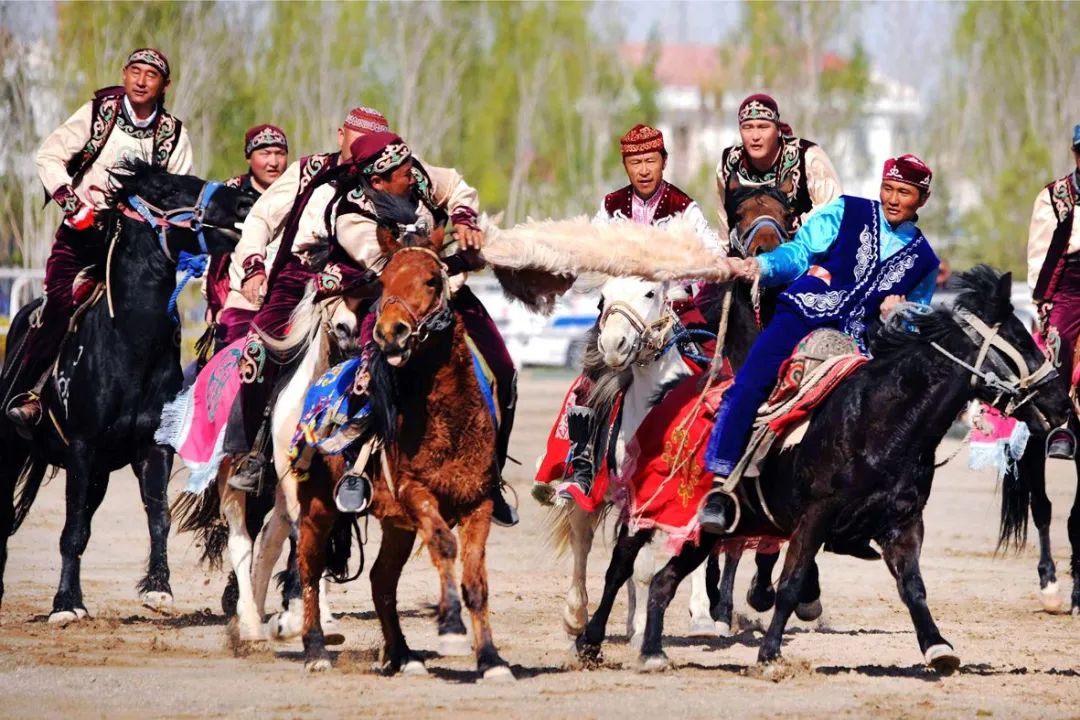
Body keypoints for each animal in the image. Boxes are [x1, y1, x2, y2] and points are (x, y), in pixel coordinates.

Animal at [0, 160, 251, 621]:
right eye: (168, 189)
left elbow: (158, 516)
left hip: (98, 473)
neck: (129, 344)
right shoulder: (81, 448)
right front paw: (66, 604)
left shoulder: (153, 448)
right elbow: (72, 530)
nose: (245, 201)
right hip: (13, 448)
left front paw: (158, 589)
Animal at [298, 197, 511, 682]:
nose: (390, 332)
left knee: (381, 579)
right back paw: (315, 648)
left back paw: (403, 654)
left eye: (432, 279)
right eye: (384, 281)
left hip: (395, 525)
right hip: (317, 506)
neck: (449, 424)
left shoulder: (478, 503)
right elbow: (444, 546)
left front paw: (491, 659)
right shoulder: (416, 493)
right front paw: (450, 628)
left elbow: (477, 581)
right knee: (308, 567)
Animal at [552, 276, 721, 647]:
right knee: (582, 540)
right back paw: (575, 616)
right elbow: (637, 566)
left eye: (650, 292)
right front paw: (638, 628)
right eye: (602, 300)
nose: (614, 345)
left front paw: (701, 617)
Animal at [578, 267, 1067, 673]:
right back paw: (590, 641)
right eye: (1019, 340)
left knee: (664, 581)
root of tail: (667, 397)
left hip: (706, 534)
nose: (1060, 397)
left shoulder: (903, 523)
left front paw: (938, 648)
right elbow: (792, 583)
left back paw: (653, 653)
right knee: (621, 565)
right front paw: (769, 655)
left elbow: (913, 586)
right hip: (650, 511)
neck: (879, 421)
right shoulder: (814, 518)